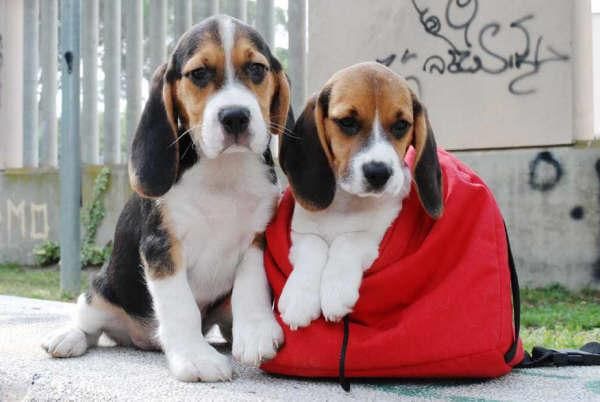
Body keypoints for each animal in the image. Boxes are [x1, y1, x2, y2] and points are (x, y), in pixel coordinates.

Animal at [42, 15, 290, 382]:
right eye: (199, 74)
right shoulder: (162, 247)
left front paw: (256, 331)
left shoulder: (257, 237)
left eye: (257, 69)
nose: (235, 116)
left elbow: (252, 285)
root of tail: (139, 337)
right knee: (89, 324)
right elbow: (180, 306)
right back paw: (67, 337)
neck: (222, 171)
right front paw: (194, 357)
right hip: (100, 291)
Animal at [276, 60, 440, 330]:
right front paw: (300, 298)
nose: (379, 172)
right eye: (347, 122)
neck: (347, 201)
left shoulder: (380, 230)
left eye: (401, 126)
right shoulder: (301, 231)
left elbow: (348, 239)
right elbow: (314, 245)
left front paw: (335, 290)